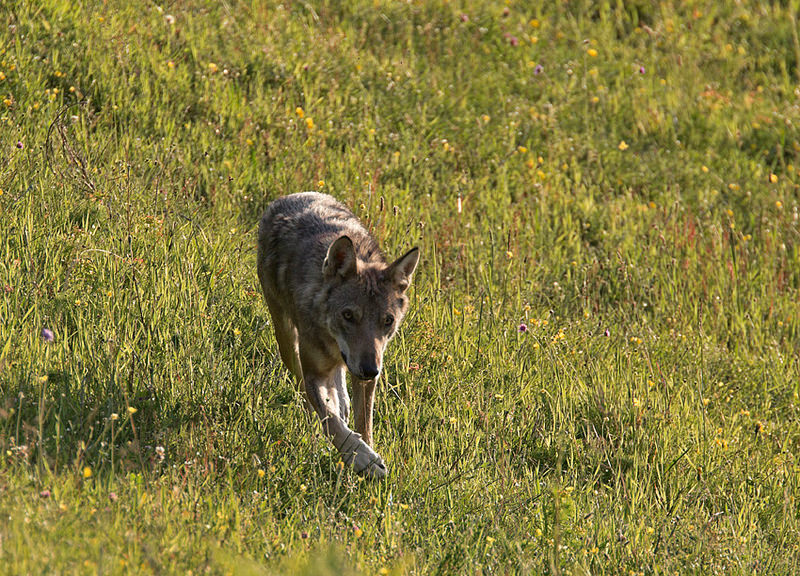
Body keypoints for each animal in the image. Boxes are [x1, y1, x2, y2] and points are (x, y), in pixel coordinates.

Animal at [258, 191, 422, 480]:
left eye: (388, 321)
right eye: (348, 315)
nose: (369, 369)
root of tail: (293, 195)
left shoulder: (367, 376)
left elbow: (363, 424)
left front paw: (365, 454)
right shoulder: (313, 372)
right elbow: (329, 420)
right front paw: (362, 458)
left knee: (340, 397)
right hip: (287, 342)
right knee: (309, 397)